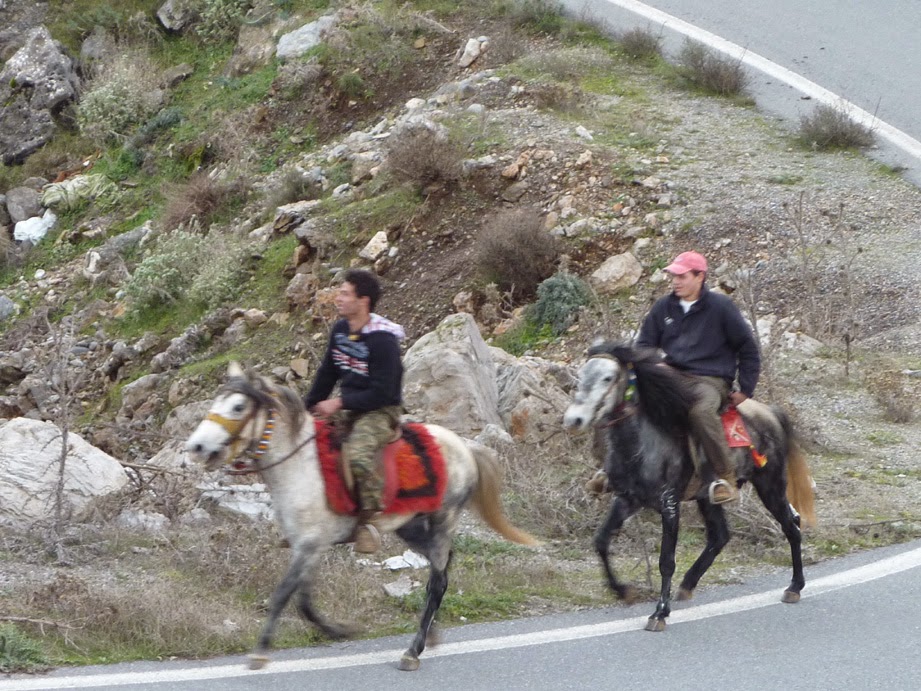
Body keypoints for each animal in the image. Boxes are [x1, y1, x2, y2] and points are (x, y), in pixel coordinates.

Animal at [183, 364, 536, 672]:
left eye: (238, 406)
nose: (196, 447)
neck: (300, 466)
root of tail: (464, 447)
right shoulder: (308, 546)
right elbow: (304, 601)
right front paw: (341, 630)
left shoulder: (309, 545)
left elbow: (284, 595)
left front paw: (259, 654)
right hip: (410, 526)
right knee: (443, 568)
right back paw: (432, 634)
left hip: (443, 518)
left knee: (438, 581)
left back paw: (413, 651)